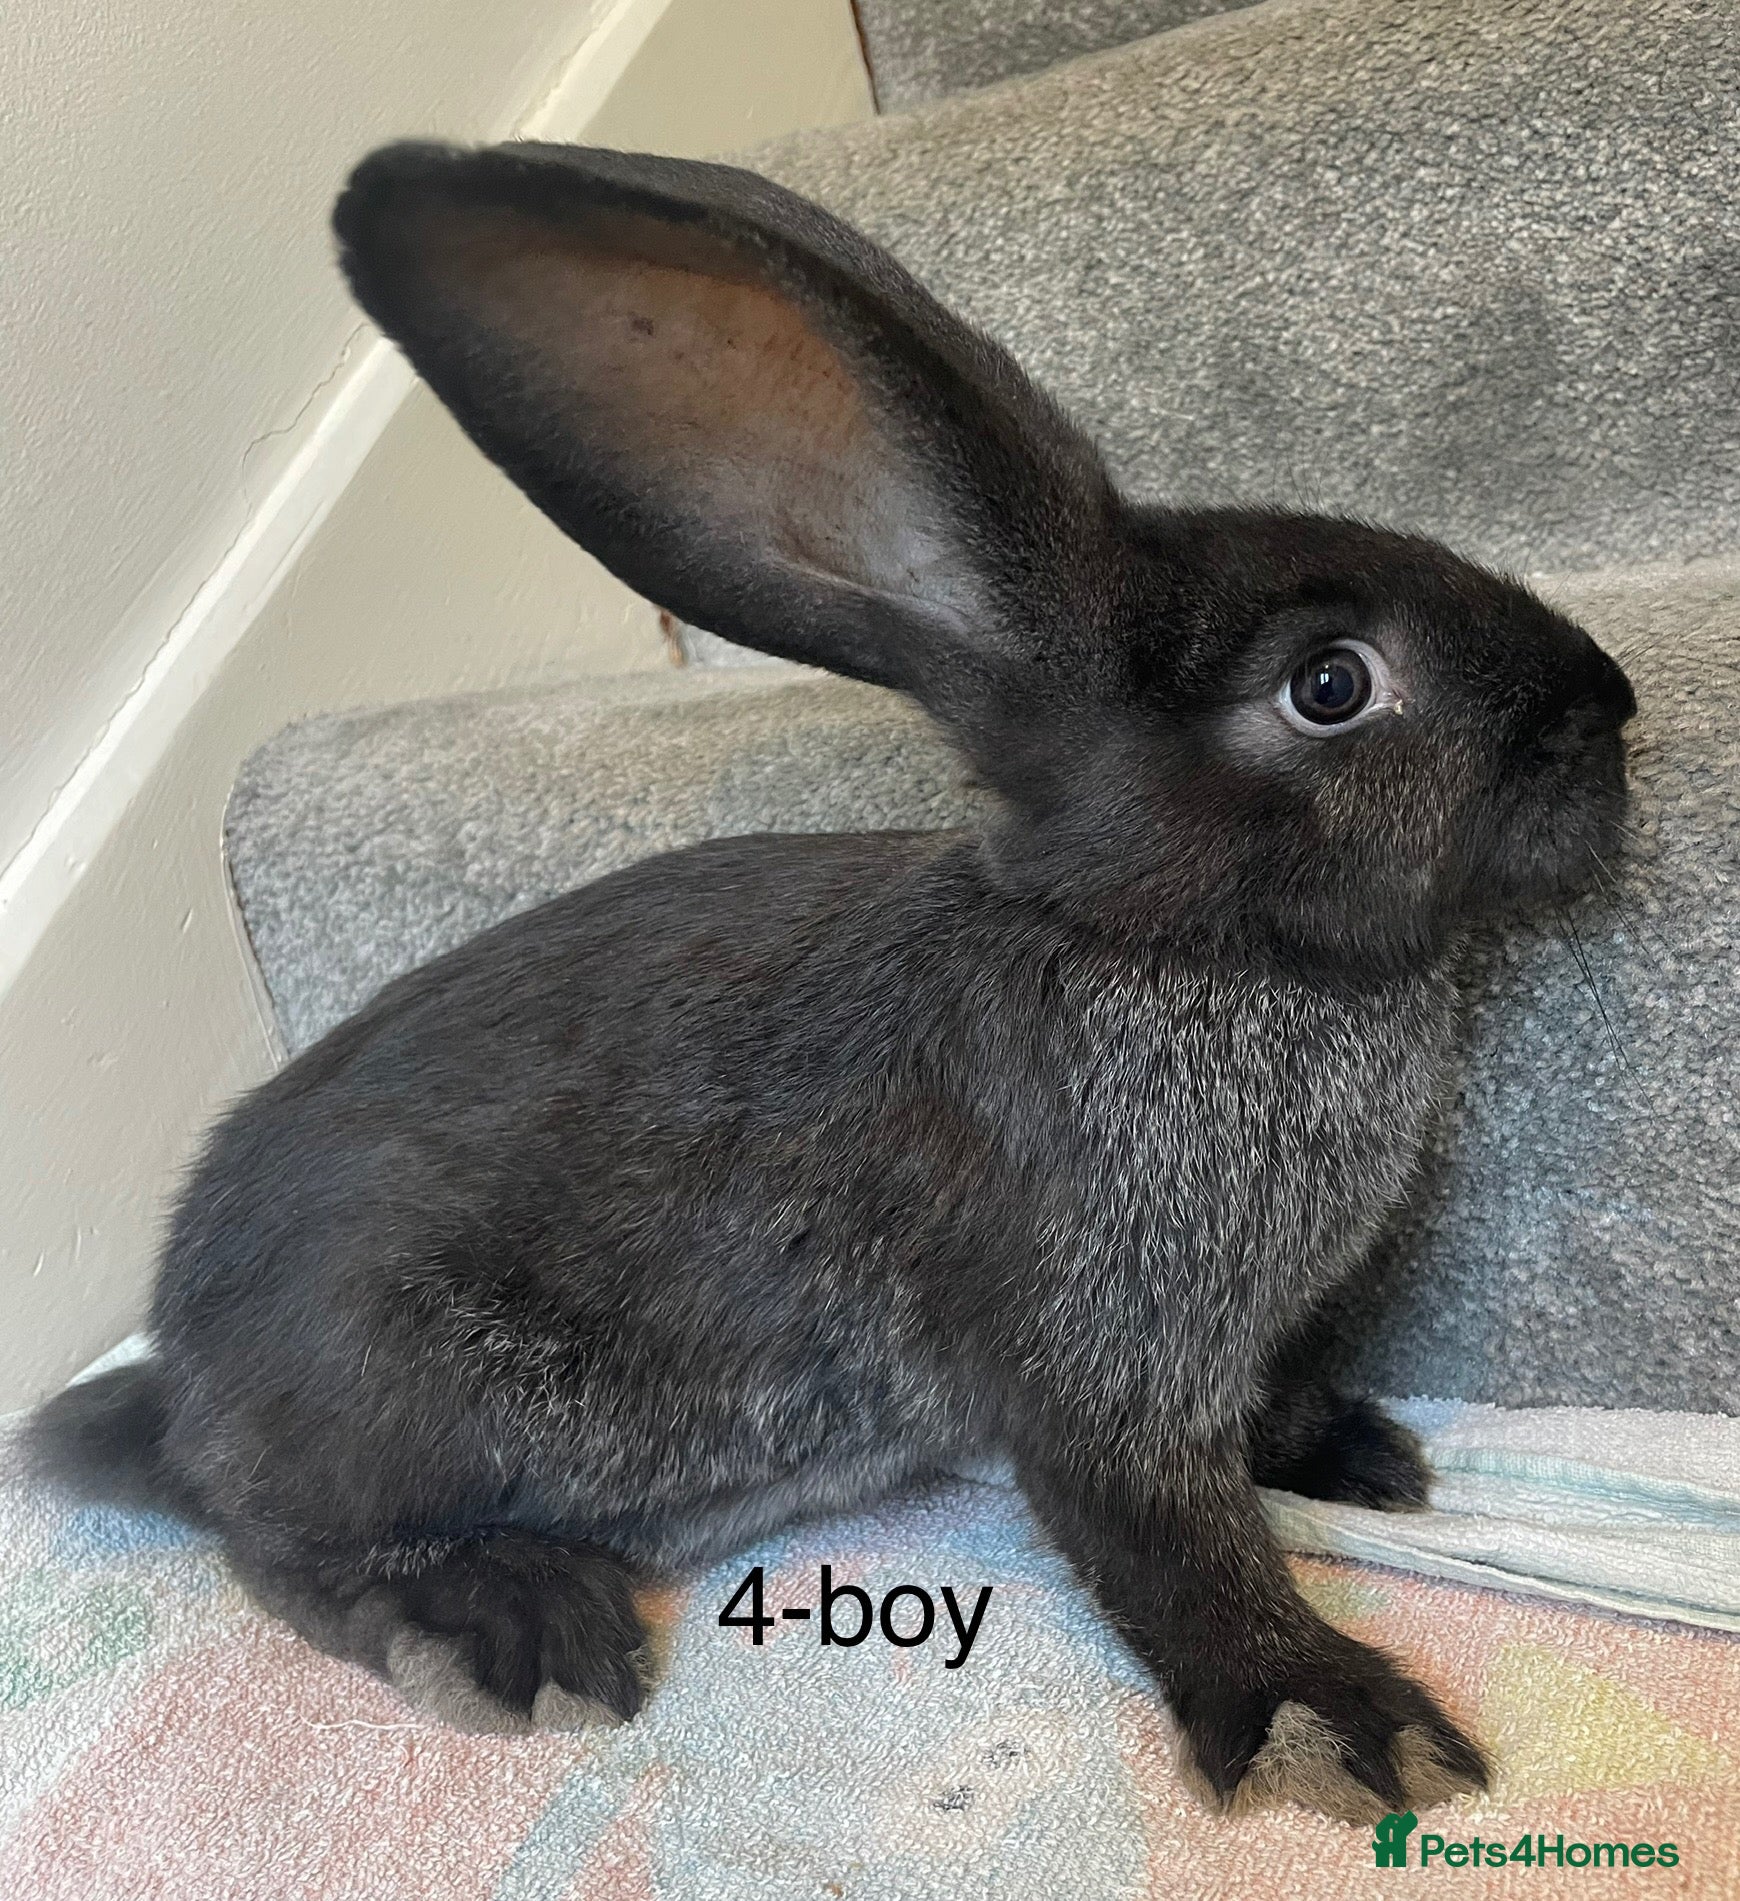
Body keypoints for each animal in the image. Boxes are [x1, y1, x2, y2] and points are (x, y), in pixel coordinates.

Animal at [26, 140, 1636, 1823]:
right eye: (1332, 684)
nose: (1609, 710)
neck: (1161, 946)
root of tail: (181, 1373)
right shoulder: (1097, 1363)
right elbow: (1173, 1544)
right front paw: (1340, 1721)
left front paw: (1360, 1458)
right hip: (397, 1392)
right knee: (273, 1546)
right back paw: (511, 1632)